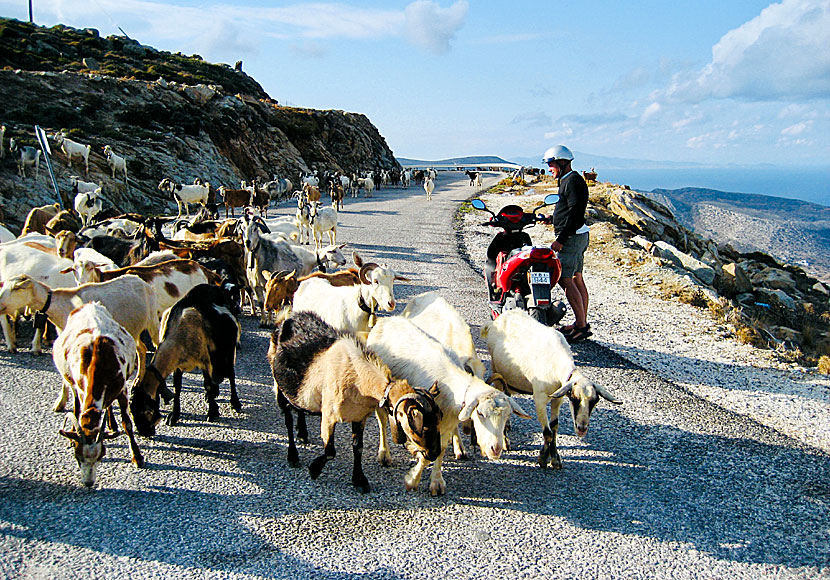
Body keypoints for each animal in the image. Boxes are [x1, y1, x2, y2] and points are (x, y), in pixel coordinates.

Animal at [53, 302, 145, 488]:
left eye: (101, 455)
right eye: (77, 457)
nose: (88, 483)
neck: (98, 358)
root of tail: (89, 305)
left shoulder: (122, 389)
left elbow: (127, 423)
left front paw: (137, 457)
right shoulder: (82, 389)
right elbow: (79, 409)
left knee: (108, 405)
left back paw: (112, 424)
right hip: (72, 383)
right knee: (76, 405)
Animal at [130, 280, 240, 436]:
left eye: (144, 411)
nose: (145, 432)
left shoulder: (205, 360)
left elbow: (208, 384)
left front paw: (212, 412)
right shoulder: (178, 364)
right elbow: (178, 387)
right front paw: (174, 415)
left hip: (229, 350)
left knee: (230, 374)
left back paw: (235, 403)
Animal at [270, 312, 446, 494]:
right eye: (423, 426)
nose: (434, 453)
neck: (356, 378)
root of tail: (285, 320)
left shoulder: (359, 417)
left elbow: (358, 448)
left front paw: (360, 480)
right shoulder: (328, 416)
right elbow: (330, 450)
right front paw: (314, 469)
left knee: (299, 408)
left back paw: (303, 434)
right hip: (280, 389)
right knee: (288, 419)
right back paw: (293, 456)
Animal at [366, 314, 532, 496]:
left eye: (507, 416)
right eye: (480, 413)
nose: (495, 449)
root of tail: (386, 320)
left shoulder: (446, 424)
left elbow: (441, 449)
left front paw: (436, 482)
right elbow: (427, 454)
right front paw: (412, 480)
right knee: (382, 422)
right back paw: (384, 454)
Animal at [480, 310, 624, 468]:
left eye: (595, 401)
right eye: (574, 398)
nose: (582, 428)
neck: (556, 363)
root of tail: (496, 320)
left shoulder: (558, 398)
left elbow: (554, 428)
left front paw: (555, 459)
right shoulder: (540, 398)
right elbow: (547, 433)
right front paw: (543, 458)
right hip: (496, 371)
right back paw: (505, 441)